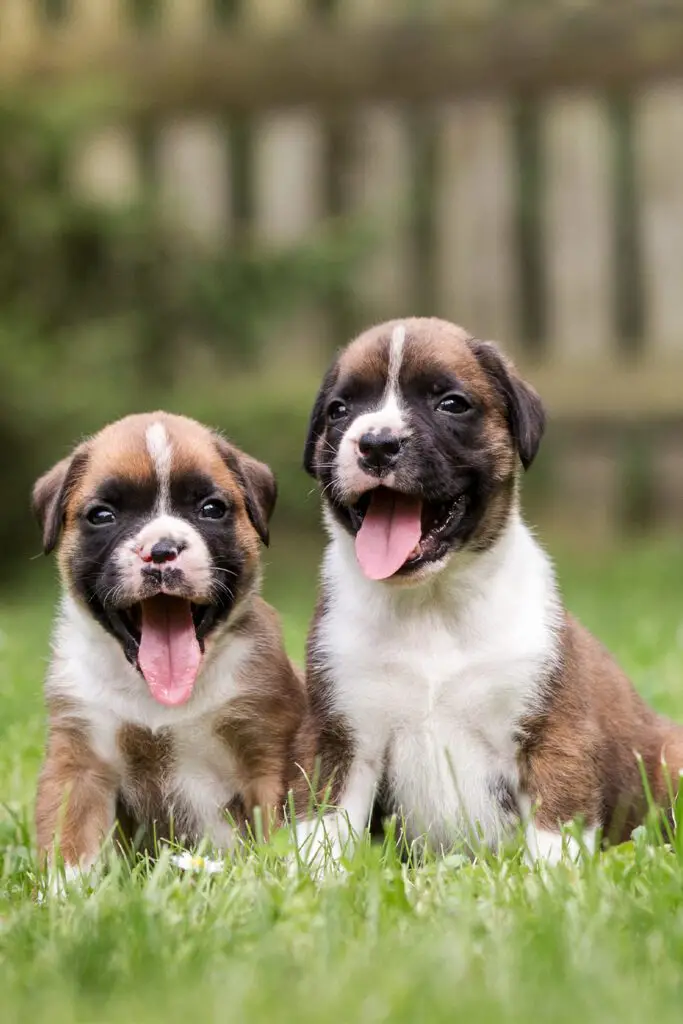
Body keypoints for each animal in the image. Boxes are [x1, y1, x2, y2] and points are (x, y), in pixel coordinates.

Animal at [34, 411, 307, 876]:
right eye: (102, 515)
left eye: (211, 509)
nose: (161, 550)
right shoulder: (79, 763)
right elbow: (70, 845)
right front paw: (65, 893)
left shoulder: (268, 761)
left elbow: (277, 833)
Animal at [299, 319, 683, 864]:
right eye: (339, 410)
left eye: (451, 404)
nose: (375, 443)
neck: (431, 601)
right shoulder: (340, 742)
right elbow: (322, 833)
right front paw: (308, 877)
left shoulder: (551, 738)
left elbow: (553, 836)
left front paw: (552, 883)